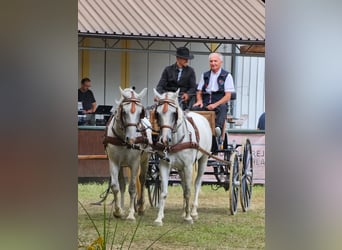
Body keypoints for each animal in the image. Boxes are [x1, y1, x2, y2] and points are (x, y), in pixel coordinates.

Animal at [104, 87, 152, 220]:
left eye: (140, 112)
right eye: (123, 111)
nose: (131, 139)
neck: (122, 139)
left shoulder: (135, 163)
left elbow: (133, 188)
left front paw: (131, 215)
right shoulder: (114, 162)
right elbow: (116, 186)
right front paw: (118, 211)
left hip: (145, 160)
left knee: (142, 180)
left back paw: (140, 207)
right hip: (122, 165)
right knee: (122, 185)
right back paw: (122, 207)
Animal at [152, 89, 211, 226]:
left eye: (174, 113)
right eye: (157, 113)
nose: (164, 139)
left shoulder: (188, 166)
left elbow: (189, 191)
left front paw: (189, 218)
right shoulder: (164, 165)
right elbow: (164, 193)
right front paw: (159, 218)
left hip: (203, 159)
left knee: (197, 183)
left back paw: (193, 212)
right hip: (180, 168)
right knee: (184, 186)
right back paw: (184, 211)